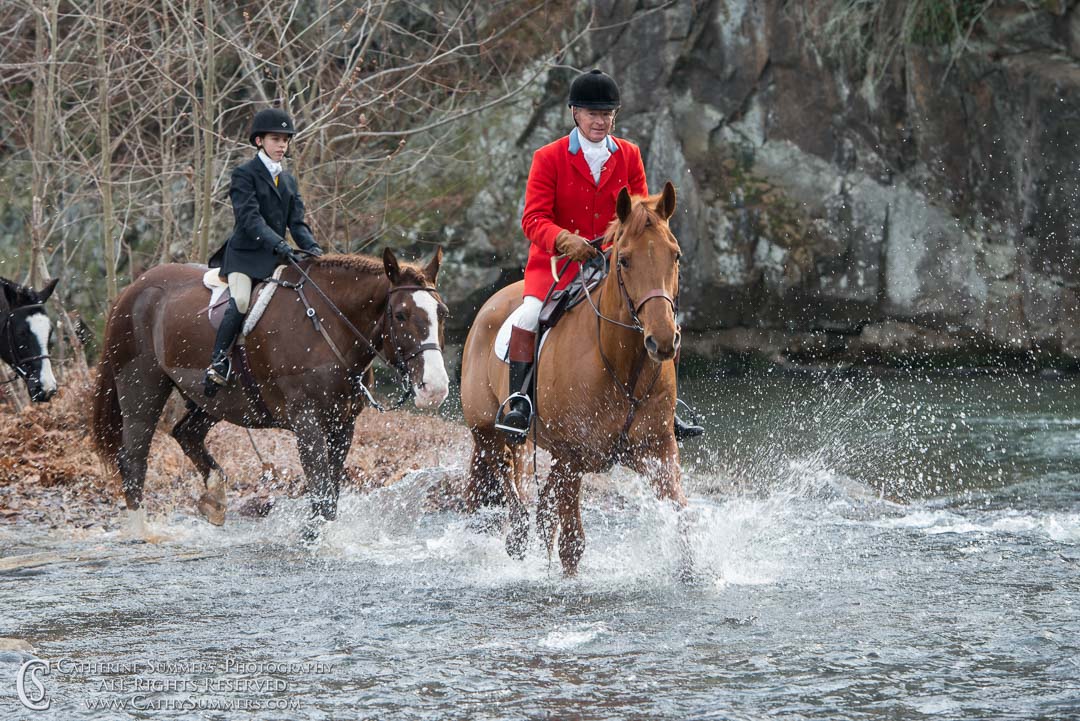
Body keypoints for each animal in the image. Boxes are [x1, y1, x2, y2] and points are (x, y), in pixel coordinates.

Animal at [90, 249, 449, 528]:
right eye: (400, 315)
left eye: (441, 313)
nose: (435, 388)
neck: (326, 326)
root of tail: (134, 289)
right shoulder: (308, 422)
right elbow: (321, 490)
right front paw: (312, 539)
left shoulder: (342, 424)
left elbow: (330, 494)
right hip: (142, 391)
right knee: (133, 458)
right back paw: (141, 532)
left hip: (213, 400)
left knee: (186, 433)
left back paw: (215, 499)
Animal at [460, 184, 686, 574]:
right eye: (624, 260)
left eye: (675, 256)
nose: (662, 341)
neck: (621, 365)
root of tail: (490, 303)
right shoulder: (571, 457)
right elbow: (572, 544)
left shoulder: (658, 449)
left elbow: (683, 518)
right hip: (489, 434)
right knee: (515, 497)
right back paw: (517, 538)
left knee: (541, 509)